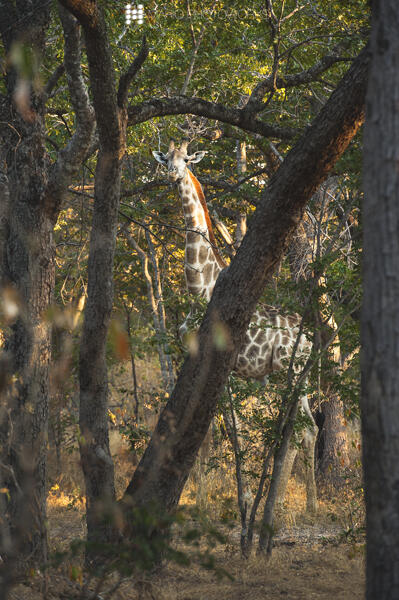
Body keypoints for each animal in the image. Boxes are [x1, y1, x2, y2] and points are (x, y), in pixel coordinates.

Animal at [152, 139, 318, 510]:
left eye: (186, 160)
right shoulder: (194, 357)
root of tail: (311, 340)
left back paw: (293, 504)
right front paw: (198, 497)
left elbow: (230, 427)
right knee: (305, 428)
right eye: (166, 158)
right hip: (291, 376)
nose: (172, 174)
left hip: (289, 371)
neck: (199, 288)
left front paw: (238, 497)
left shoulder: (222, 361)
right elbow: (208, 431)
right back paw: (295, 502)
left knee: (302, 429)